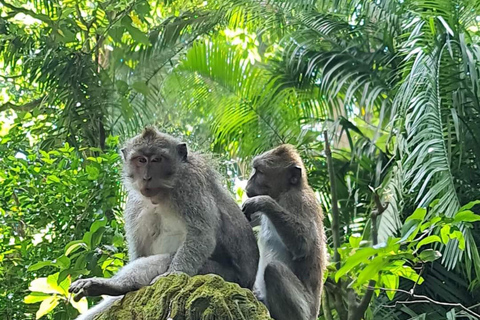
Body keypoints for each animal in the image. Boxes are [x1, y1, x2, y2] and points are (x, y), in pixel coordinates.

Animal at [68, 128, 258, 320]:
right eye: (141, 160)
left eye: (157, 160)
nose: (146, 178)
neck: (163, 194)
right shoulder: (135, 203)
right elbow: (140, 250)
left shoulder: (191, 185)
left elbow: (200, 235)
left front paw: (172, 273)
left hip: (221, 276)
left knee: (167, 259)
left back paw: (116, 286)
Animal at [242, 144, 328, 320]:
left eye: (259, 171)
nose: (248, 181)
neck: (284, 193)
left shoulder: (299, 201)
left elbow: (303, 244)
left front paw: (262, 201)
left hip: (305, 309)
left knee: (274, 269)